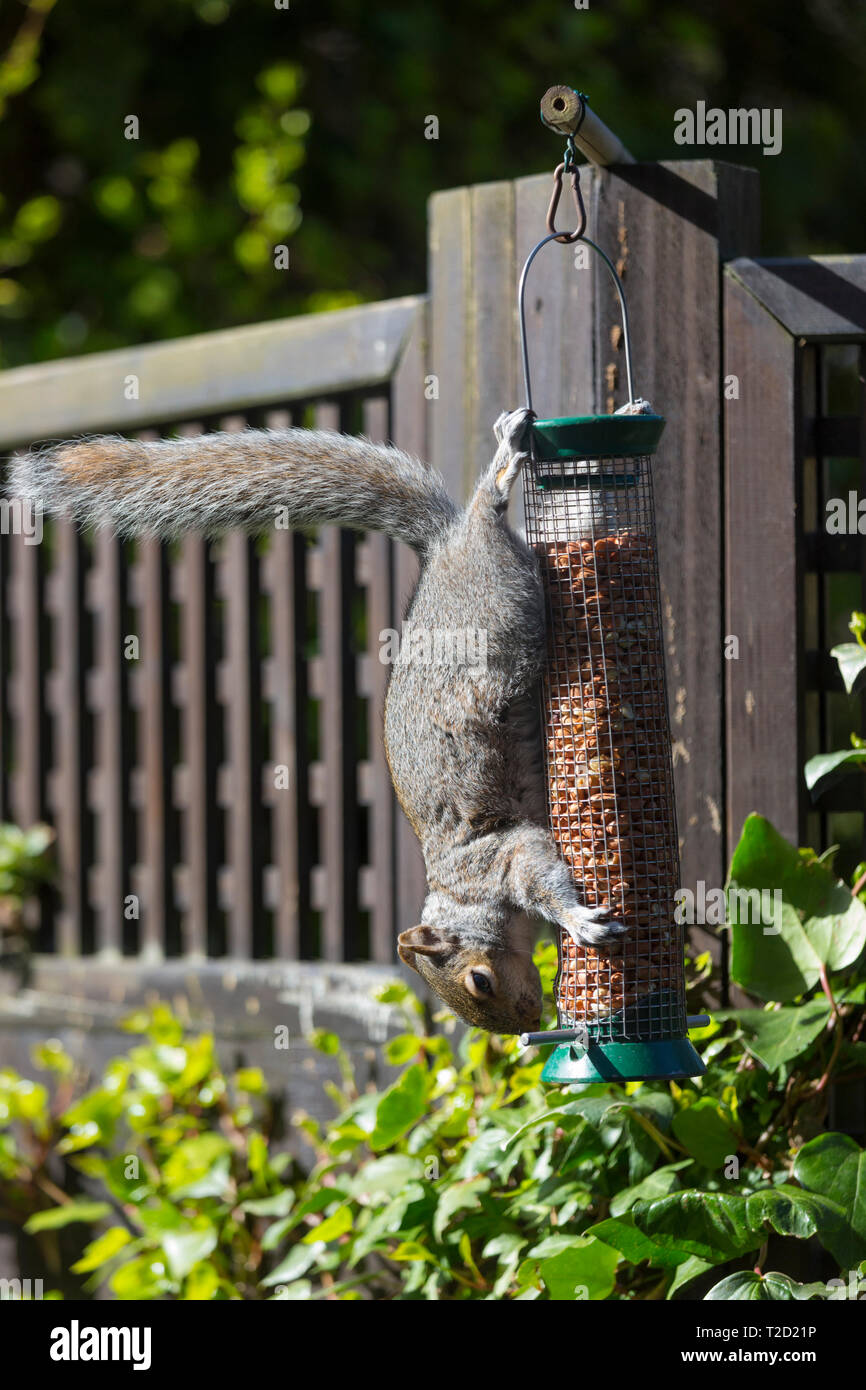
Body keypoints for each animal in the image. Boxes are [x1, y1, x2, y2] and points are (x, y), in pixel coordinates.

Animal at [9, 407, 626, 1034]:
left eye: (480, 980)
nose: (526, 1022)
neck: (462, 895)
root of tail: (444, 545)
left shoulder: (502, 856)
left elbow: (541, 875)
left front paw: (577, 921)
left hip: (496, 597)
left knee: (489, 507)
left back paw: (507, 464)